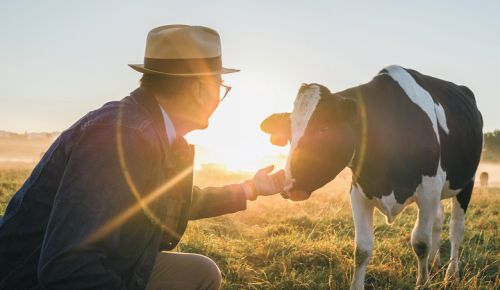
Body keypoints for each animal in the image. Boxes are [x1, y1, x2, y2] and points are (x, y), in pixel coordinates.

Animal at [262, 64, 484, 288]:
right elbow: (362, 249)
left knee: (456, 229)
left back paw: (451, 274)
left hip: (467, 183)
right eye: (289, 134)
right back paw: (434, 263)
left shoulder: (429, 190)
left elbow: (421, 243)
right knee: (438, 220)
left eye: (323, 129)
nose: (288, 186)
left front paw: (423, 283)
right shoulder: (358, 193)